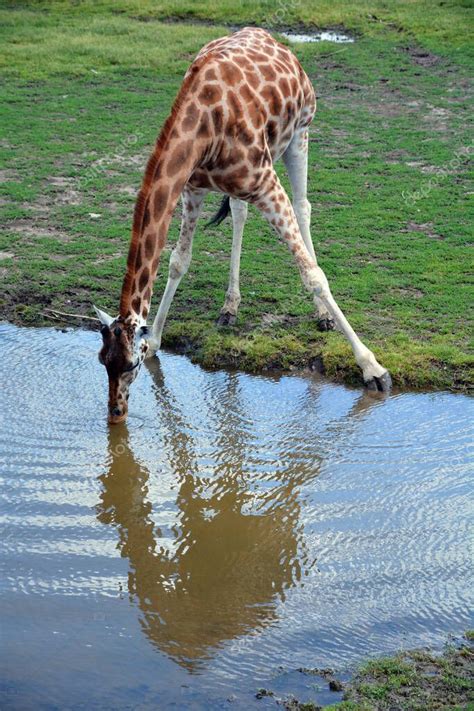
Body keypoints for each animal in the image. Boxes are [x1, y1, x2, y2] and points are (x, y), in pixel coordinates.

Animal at [94, 27, 390, 426]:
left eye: (128, 365)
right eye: (102, 361)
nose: (116, 412)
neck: (203, 126)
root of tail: (270, 38)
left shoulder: (265, 182)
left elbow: (313, 274)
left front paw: (373, 368)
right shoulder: (193, 187)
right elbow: (178, 261)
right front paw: (156, 337)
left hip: (301, 132)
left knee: (304, 208)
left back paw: (322, 316)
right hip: (242, 181)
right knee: (238, 211)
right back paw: (229, 307)